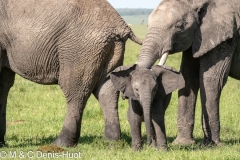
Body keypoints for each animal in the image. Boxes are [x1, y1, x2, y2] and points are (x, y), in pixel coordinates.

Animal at [0, 0, 142, 148]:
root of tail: (121, 25)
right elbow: (5, 83)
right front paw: (1, 143)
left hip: (80, 49)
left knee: (75, 91)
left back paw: (61, 143)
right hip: (110, 48)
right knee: (106, 91)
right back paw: (111, 142)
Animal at [135, 0, 240, 147]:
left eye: (179, 26)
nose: (150, 143)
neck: (198, 3)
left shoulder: (226, 36)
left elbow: (211, 80)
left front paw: (212, 145)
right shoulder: (197, 38)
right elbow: (188, 77)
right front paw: (182, 144)